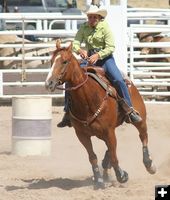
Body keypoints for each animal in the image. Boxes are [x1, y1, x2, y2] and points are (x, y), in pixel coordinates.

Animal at [44, 39, 156, 188]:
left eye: (64, 61)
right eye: (51, 61)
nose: (49, 83)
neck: (88, 99)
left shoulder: (109, 131)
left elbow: (114, 156)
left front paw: (121, 175)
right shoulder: (82, 135)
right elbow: (93, 157)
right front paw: (98, 179)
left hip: (140, 119)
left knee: (143, 136)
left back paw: (149, 164)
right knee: (109, 150)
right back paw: (105, 172)